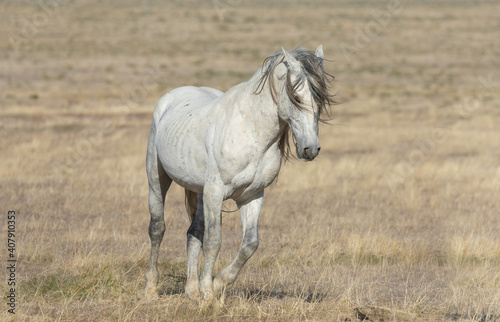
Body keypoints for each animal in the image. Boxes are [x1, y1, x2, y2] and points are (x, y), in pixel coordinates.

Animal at [145, 46, 334, 302]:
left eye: (320, 99)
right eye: (296, 97)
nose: (310, 149)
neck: (250, 131)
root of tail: (170, 98)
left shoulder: (251, 196)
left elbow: (249, 244)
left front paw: (217, 284)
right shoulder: (215, 192)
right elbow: (213, 241)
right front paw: (208, 292)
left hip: (201, 192)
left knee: (193, 232)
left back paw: (191, 290)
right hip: (157, 181)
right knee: (157, 228)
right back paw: (151, 288)